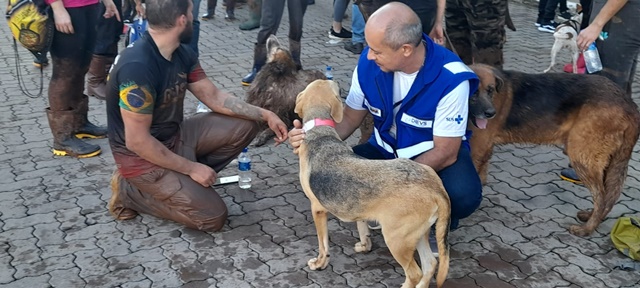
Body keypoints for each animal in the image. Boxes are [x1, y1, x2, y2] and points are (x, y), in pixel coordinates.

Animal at [294, 79, 450, 288]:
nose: (332, 79)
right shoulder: (357, 208)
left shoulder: (317, 209)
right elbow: (362, 226)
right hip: (418, 235)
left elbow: (323, 244)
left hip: (396, 240)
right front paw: (364, 244)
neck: (320, 132)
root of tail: (434, 187)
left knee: (414, 273)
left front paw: (320, 264)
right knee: (430, 265)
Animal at [464, 64, 640, 236]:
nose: (490, 113)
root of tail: (629, 103)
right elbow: (482, 180)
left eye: (490, 90)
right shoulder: (484, 151)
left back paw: (587, 229)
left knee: (601, 197)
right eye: (473, 93)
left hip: (582, 158)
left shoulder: (477, 151)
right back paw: (590, 217)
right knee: (609, 196)